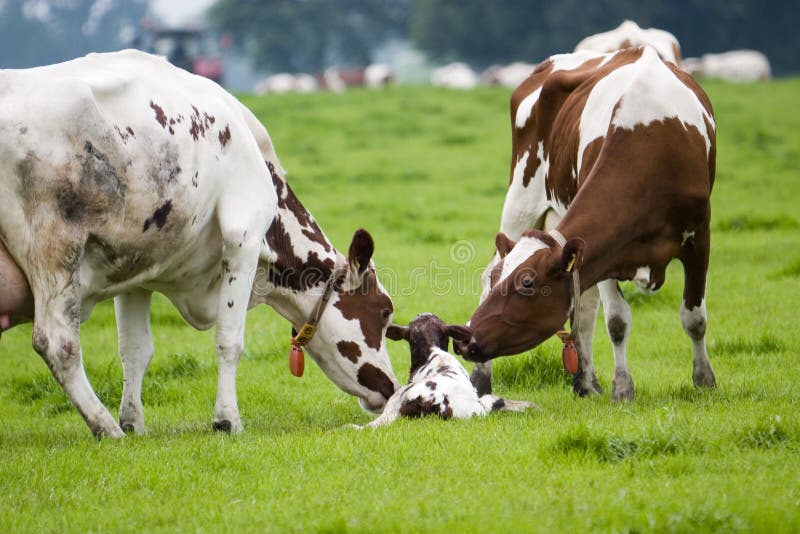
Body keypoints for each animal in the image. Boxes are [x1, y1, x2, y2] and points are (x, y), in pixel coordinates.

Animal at [0, 49, 400, 440]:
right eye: (384, 311)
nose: (392, 387)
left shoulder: (136, 268)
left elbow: (135, 350)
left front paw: (134, 423)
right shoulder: (243, 239)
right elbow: (229, 340)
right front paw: (227, 420)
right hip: (55, 251)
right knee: (58, 343)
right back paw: (105, 427)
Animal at [456, 47, 720, 402]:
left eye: (527, 283)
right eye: (506, 279)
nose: (466, 338)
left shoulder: (700, 237)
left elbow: (695, 317)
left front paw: (704, 380)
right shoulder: (606, 253)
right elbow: (617, 320)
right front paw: (622, 387)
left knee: (586, 305)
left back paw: (586, 381)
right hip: (520, 199)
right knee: (490, 272)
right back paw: (482, 380)